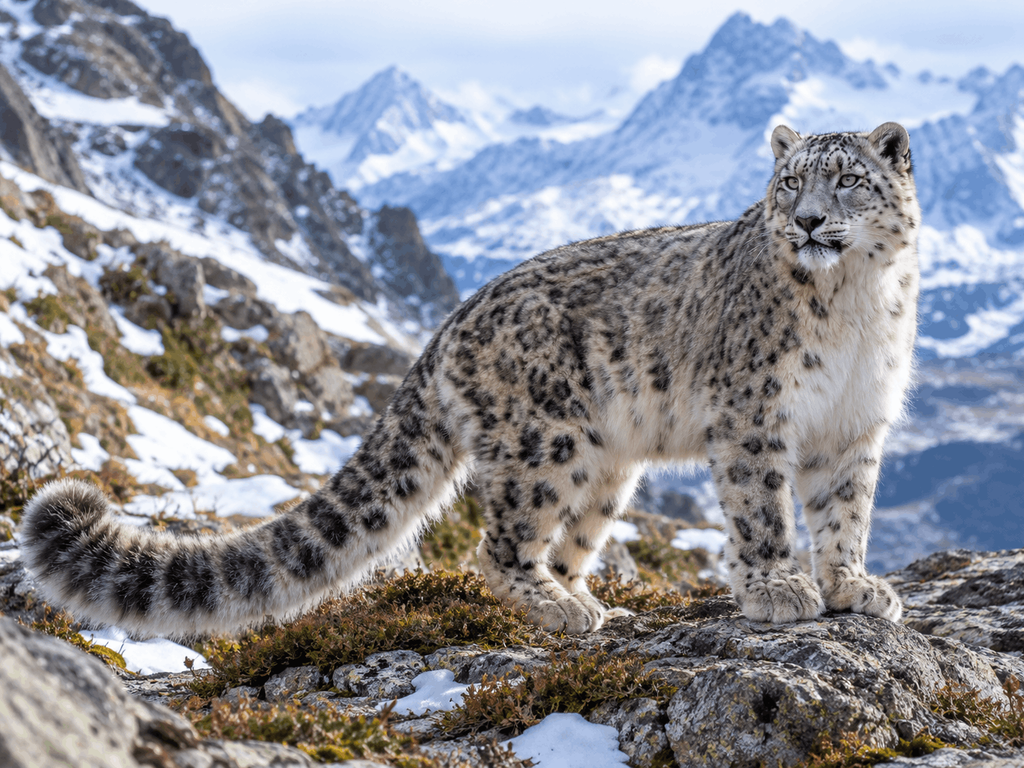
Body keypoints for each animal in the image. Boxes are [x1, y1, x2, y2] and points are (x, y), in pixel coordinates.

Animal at [21, 122, 919, 638]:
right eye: (790, 181)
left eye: (847, 179)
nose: (808, 220)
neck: (855, 306)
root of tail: (452, 320)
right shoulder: (755, 415)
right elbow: (763, 509)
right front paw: (778, 589)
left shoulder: (854, 424)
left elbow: (845, 512)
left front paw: (853, 587)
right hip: (545, 442)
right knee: (501, 544)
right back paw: (559, 609)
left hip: (607, 465)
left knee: (568, 540)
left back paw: (589, 599)